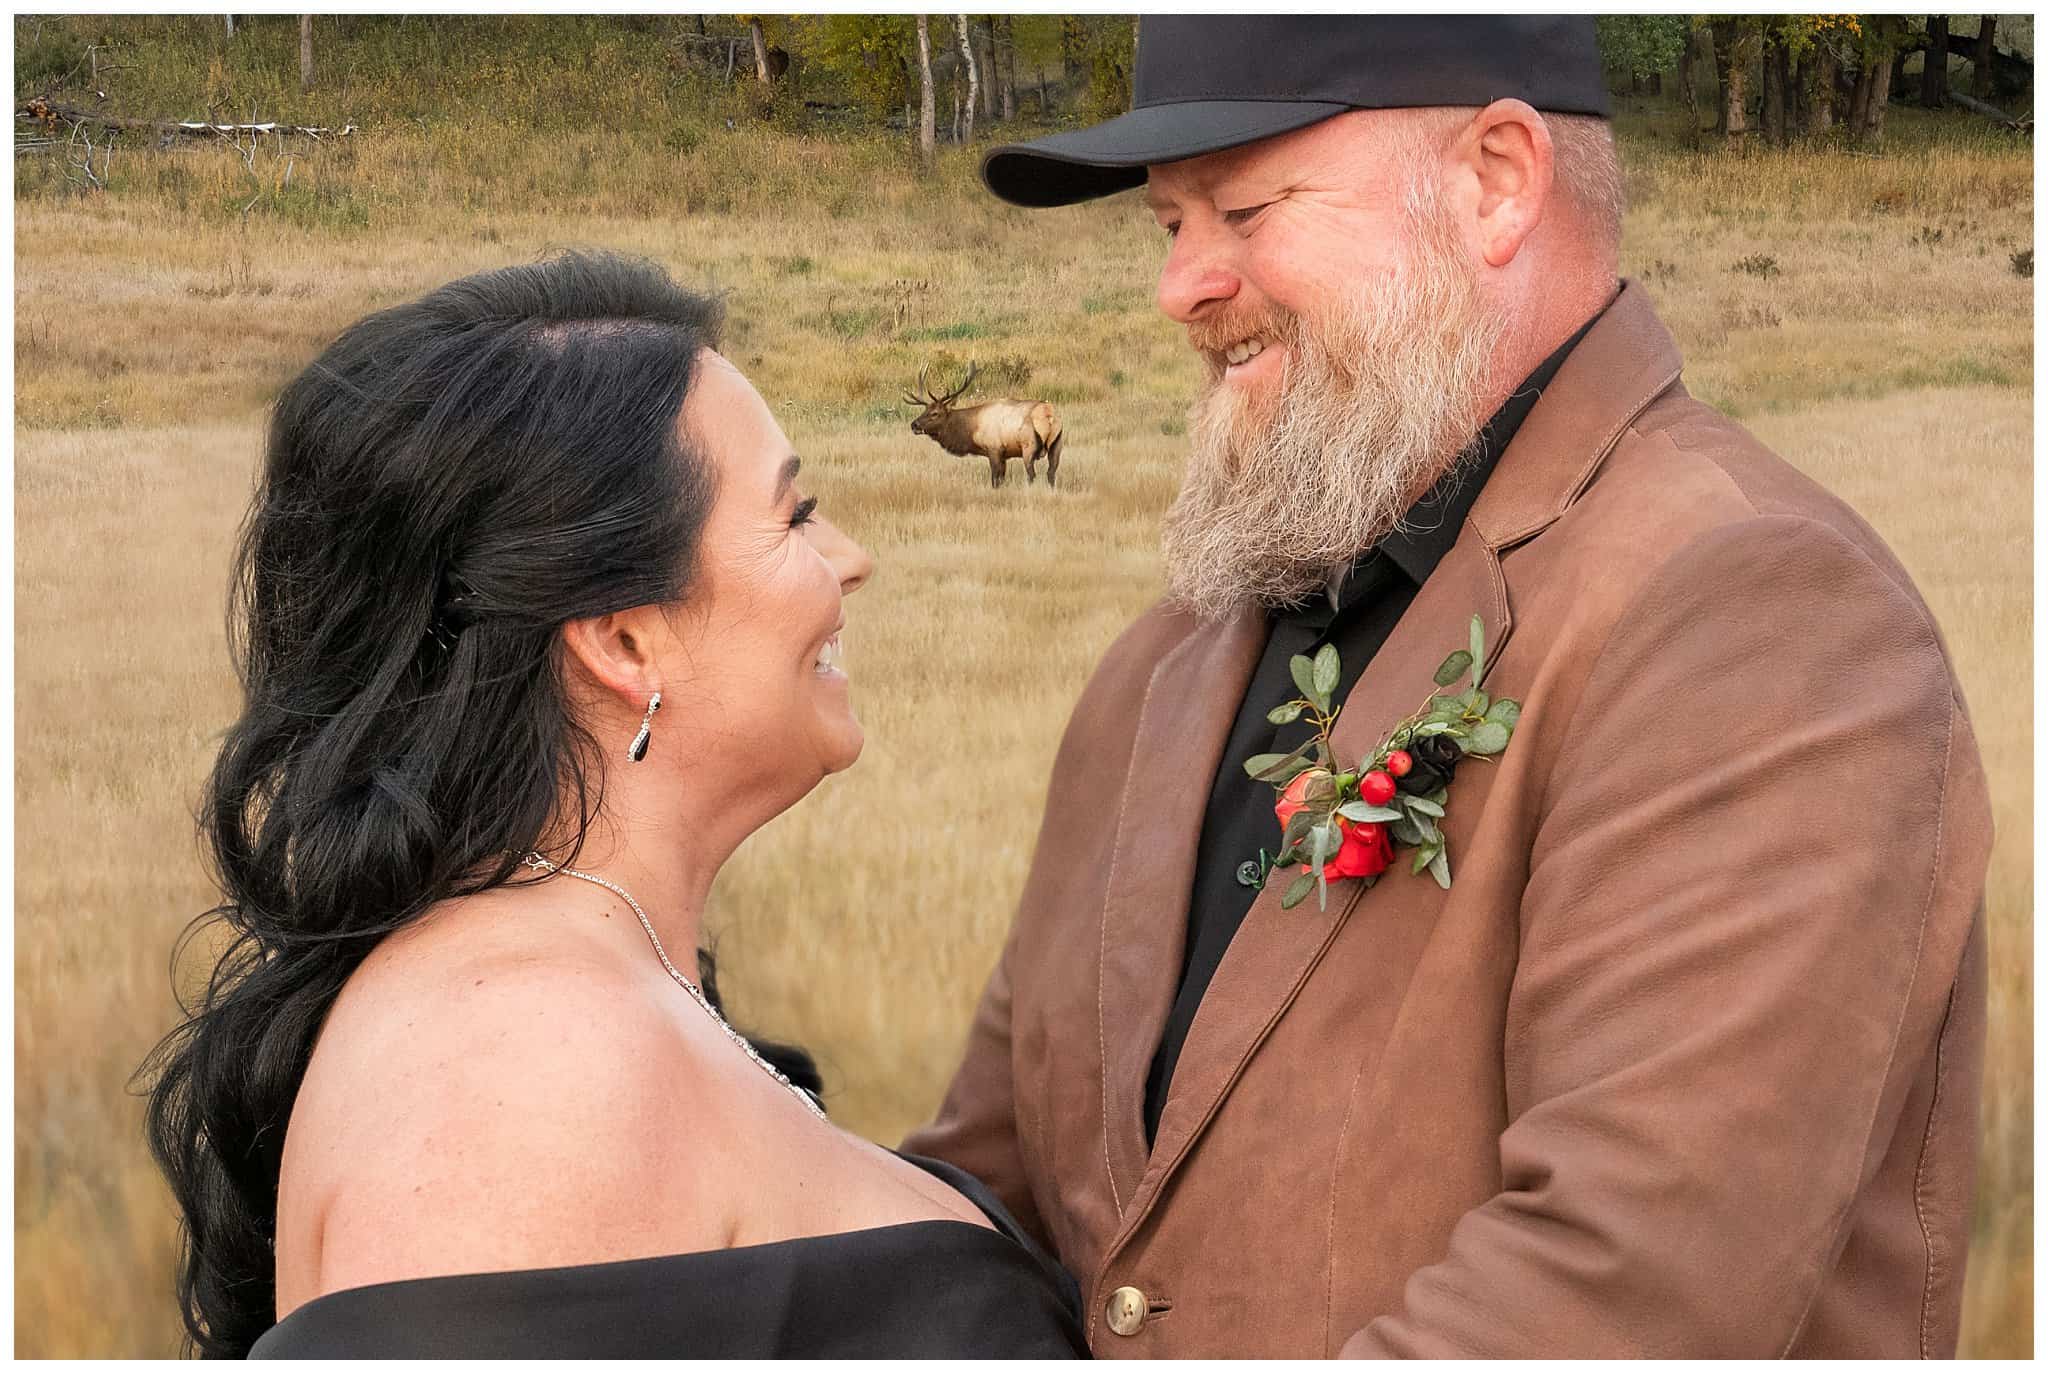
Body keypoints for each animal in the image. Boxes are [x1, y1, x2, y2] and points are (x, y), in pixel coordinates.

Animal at [905, 362, 1064, 491]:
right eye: (925, 410)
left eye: (935, 413)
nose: (914, 424)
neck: (972, 431)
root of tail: (1049, 416)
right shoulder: (1004, 455)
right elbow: (1002, 479)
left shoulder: (994, 448)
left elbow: (995, 480)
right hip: (1057, 443)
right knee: (1051, 472)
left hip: (1028, 445)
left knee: (1032, 474)